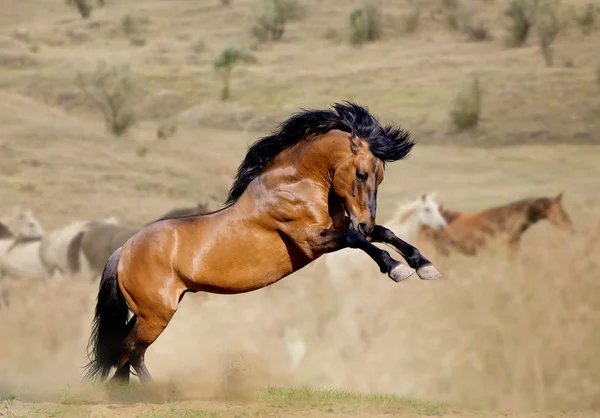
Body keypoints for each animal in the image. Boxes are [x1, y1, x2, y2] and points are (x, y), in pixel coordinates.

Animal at [83, 103, 440, 384]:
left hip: (148, 312)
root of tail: (124, 250)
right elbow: (358, 240)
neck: (297, 182)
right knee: (130, 351)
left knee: (126, 351)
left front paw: (424, 266)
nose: (364, 220)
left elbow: (385, 233)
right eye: (362, 174)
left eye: (381, 176)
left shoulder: (339, 228)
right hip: (156, 315)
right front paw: (395, 268)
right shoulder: (313, 240)